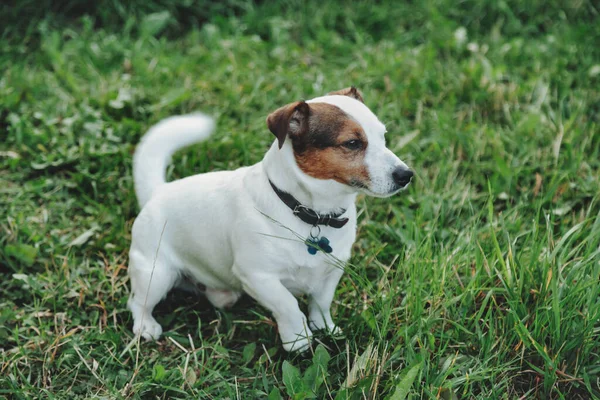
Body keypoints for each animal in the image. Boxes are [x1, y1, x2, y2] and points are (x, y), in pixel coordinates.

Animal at [127, 86, 412, 350]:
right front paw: (297, 339)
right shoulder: (257, 276)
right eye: (352, 143)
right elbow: (288, 304)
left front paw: (325, 328)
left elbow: (321, 303)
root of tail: (158, 190)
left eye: (383, 136)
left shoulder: (332, 270)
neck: (312, 215)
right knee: (138, 301)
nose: (407, 175)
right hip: (155, 273)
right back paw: (146, 326)